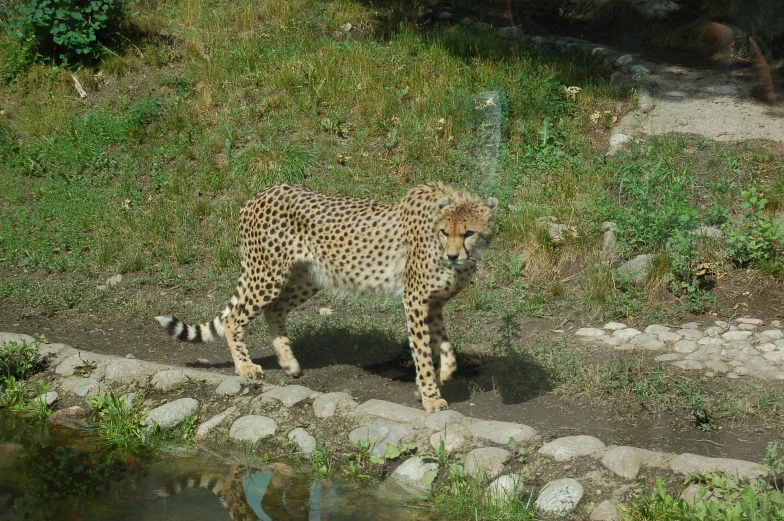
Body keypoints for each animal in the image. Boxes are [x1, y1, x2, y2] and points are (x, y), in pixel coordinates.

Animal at [155, 183, 496, 410]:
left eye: (469, 232)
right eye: (444, 232)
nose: (452, 256)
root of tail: (259, 193)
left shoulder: (433, 302)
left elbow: (447, 351)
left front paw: (438, 380)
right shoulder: (415, 299)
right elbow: (423, 352)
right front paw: (430, 396)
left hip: (309, 277)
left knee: (274, 310)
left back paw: (289, 363)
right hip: (268, 275)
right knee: (235, 318)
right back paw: (245, 367)